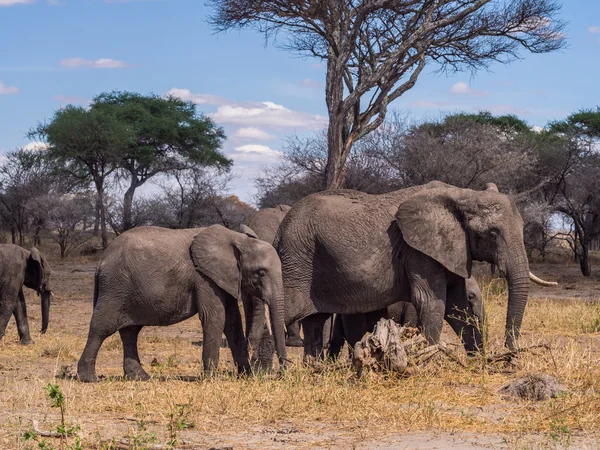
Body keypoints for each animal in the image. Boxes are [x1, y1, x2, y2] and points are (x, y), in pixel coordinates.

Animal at [75, 225, 288, 384]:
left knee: (130, 332)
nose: (284, 372)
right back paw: (89, 378)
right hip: (115, 288)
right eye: (261, 273)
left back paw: (140, 378)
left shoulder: (225, 277)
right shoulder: (204, 276)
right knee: (101, 328)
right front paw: (211, 379)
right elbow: (215, 317)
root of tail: (101, 260)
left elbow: (232, 321)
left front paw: (246, 375)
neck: (237, 239)